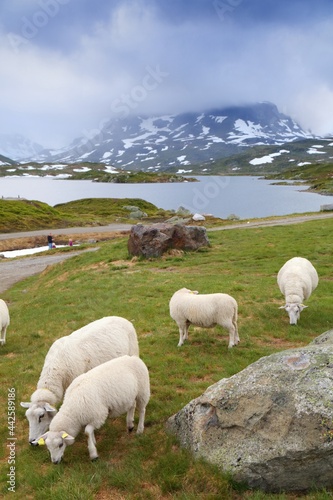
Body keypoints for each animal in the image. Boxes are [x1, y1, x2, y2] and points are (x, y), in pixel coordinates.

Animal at [19, 314, 139, 444]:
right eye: (27, 417)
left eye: (41, 416)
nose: (32, 442)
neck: (55, 369)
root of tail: (121, 318)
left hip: (133, 353)